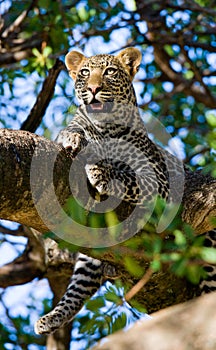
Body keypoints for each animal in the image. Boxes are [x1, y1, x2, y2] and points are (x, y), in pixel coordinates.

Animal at [34, 47, 216, 334]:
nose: (93, 88)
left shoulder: (159, 183)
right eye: (84, 72)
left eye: (110, 71)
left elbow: (129, 177)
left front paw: (101, 171)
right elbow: (74, 129)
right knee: (79, 287)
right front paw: (73, 137)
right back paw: (50, 319)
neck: (106, 128)